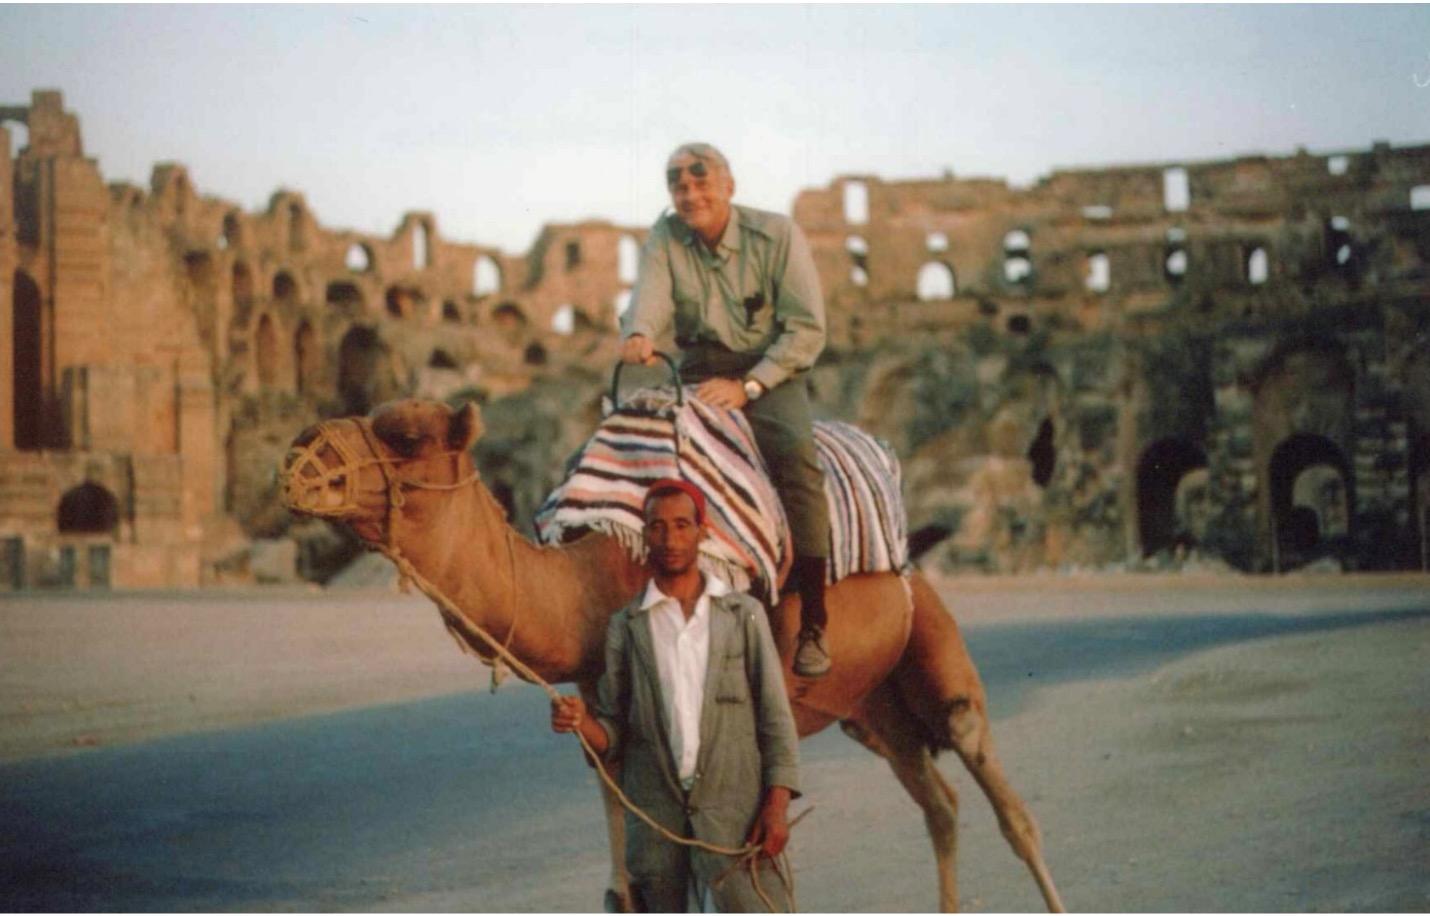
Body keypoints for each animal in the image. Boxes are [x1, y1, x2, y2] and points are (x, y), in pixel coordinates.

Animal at [280, 397, 1064, 913]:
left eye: (407, 434)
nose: (299, 453)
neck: (598, 576)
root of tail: (909, 566)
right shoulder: (608, 713)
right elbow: (628, 888)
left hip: (932, 644)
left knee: (1003, 797)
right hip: (875, 713)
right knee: (940, 803)